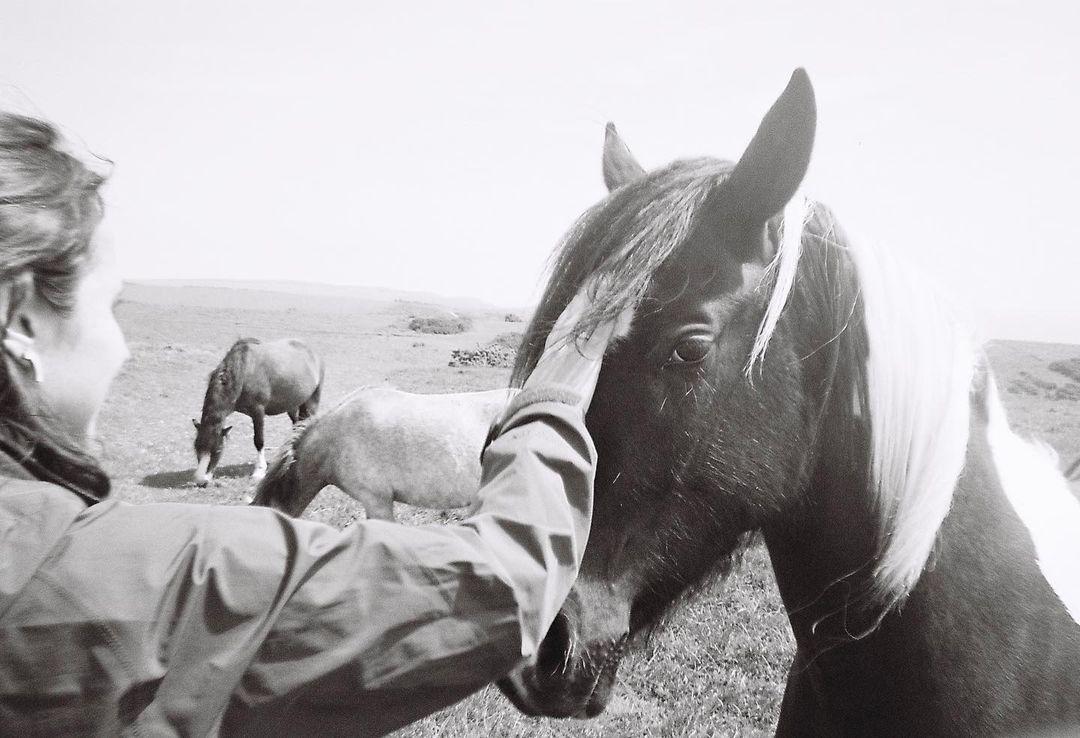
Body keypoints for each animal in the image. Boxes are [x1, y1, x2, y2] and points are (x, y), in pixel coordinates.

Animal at [192, 337, 323, 487]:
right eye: (196, 447)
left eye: (218, 450)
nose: (201, 481)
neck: (244, 371)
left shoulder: (258, 412)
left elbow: (259, 441)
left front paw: (259, 471)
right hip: (292, 405)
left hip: (312, 401)